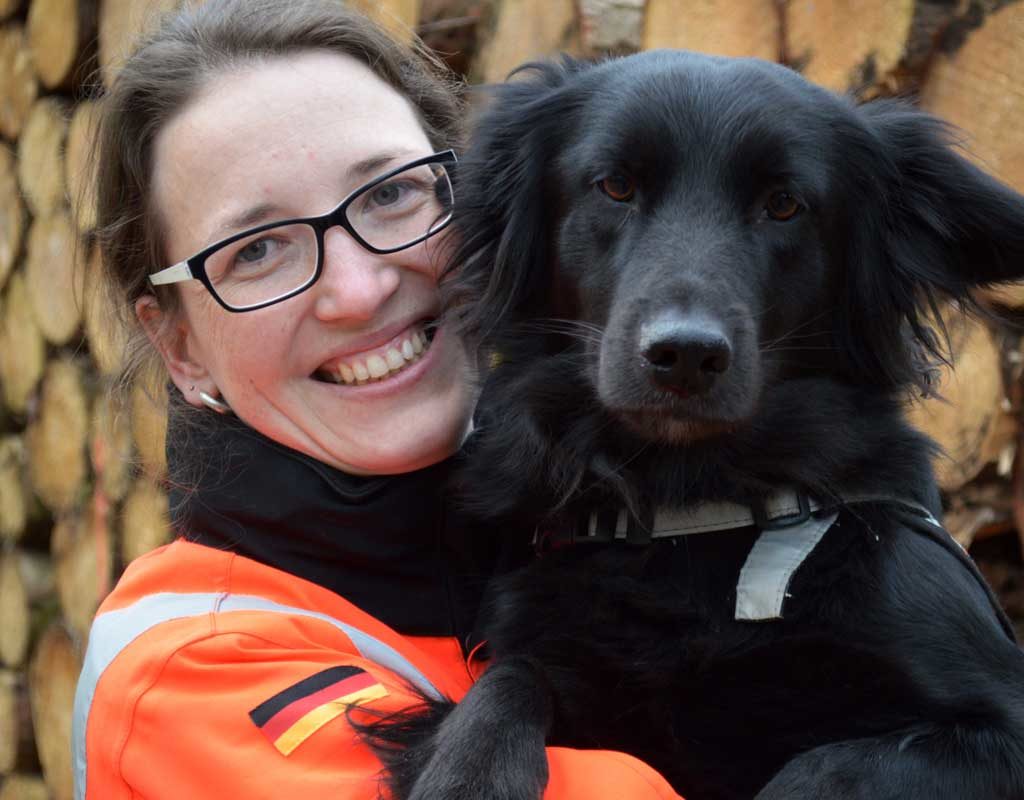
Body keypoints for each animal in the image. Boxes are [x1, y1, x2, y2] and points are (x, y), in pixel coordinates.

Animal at [368, 51, 1024, 798]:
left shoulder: (994, 715)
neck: (689, 509)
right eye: (616, 186)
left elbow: (826, 768)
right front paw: (468, 771)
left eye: (784, 204)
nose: (684, 354)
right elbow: (510, 679)